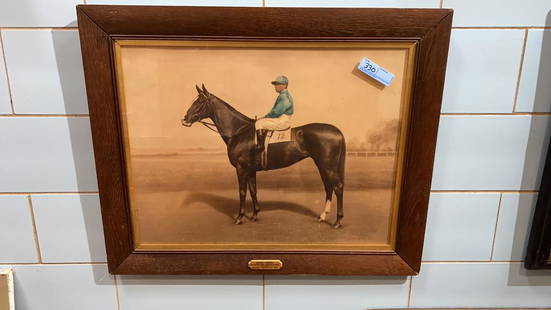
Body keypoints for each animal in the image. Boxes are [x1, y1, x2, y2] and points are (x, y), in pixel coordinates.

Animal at [181, 84, 344, 228]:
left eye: (200, 101)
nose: (184, 119)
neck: (239, 131)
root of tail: (337, 131)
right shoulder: (251, 170)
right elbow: (253, 191)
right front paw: (254, 215)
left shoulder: (241, 169)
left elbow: (242, 192)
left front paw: (239, 218)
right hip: (321, 164)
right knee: (328, 187)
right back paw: (323, 217)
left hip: (327, 166)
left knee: (337, 187)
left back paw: (337, 221)